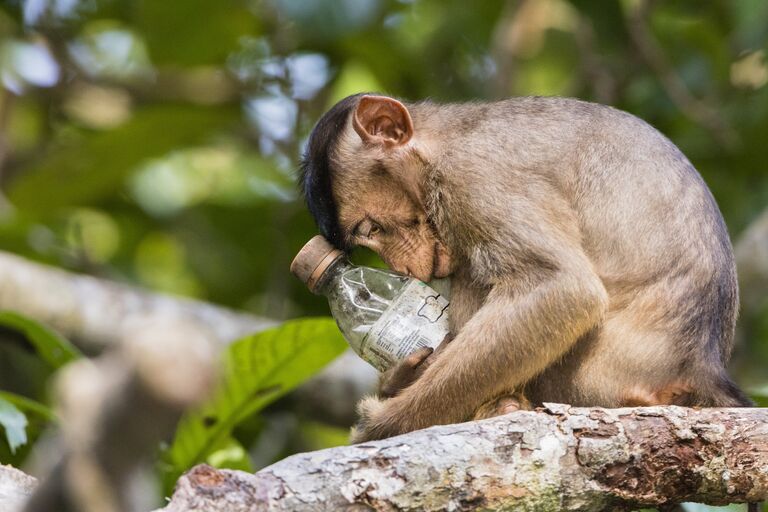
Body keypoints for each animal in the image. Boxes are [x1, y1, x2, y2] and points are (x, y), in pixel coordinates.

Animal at [298, 94, 752, 442]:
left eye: (371, 228)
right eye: (366, 240)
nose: (398, 265)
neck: (440, 144)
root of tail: (703, 364)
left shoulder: (473, 177)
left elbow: (563, 289)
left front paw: (387, 423)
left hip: (593, 377)